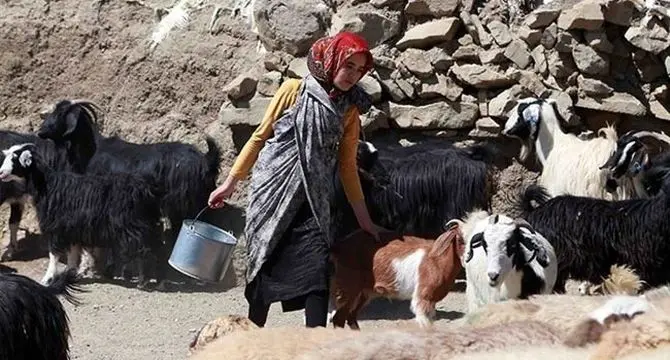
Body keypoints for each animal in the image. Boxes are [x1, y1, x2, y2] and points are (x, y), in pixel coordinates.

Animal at [0, 142, 164, 288]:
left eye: (15, 158)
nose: (1, 173)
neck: (48, 185)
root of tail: (146, 190)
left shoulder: (56, 227)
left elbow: (54, 254)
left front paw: (47, 279)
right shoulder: (72, 228)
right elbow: (73, 253)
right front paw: (70, 275)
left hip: (135, 226)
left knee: (145, 250)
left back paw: (143, 282)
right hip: (149, 224)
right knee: (157, 248)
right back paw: (159, 281)